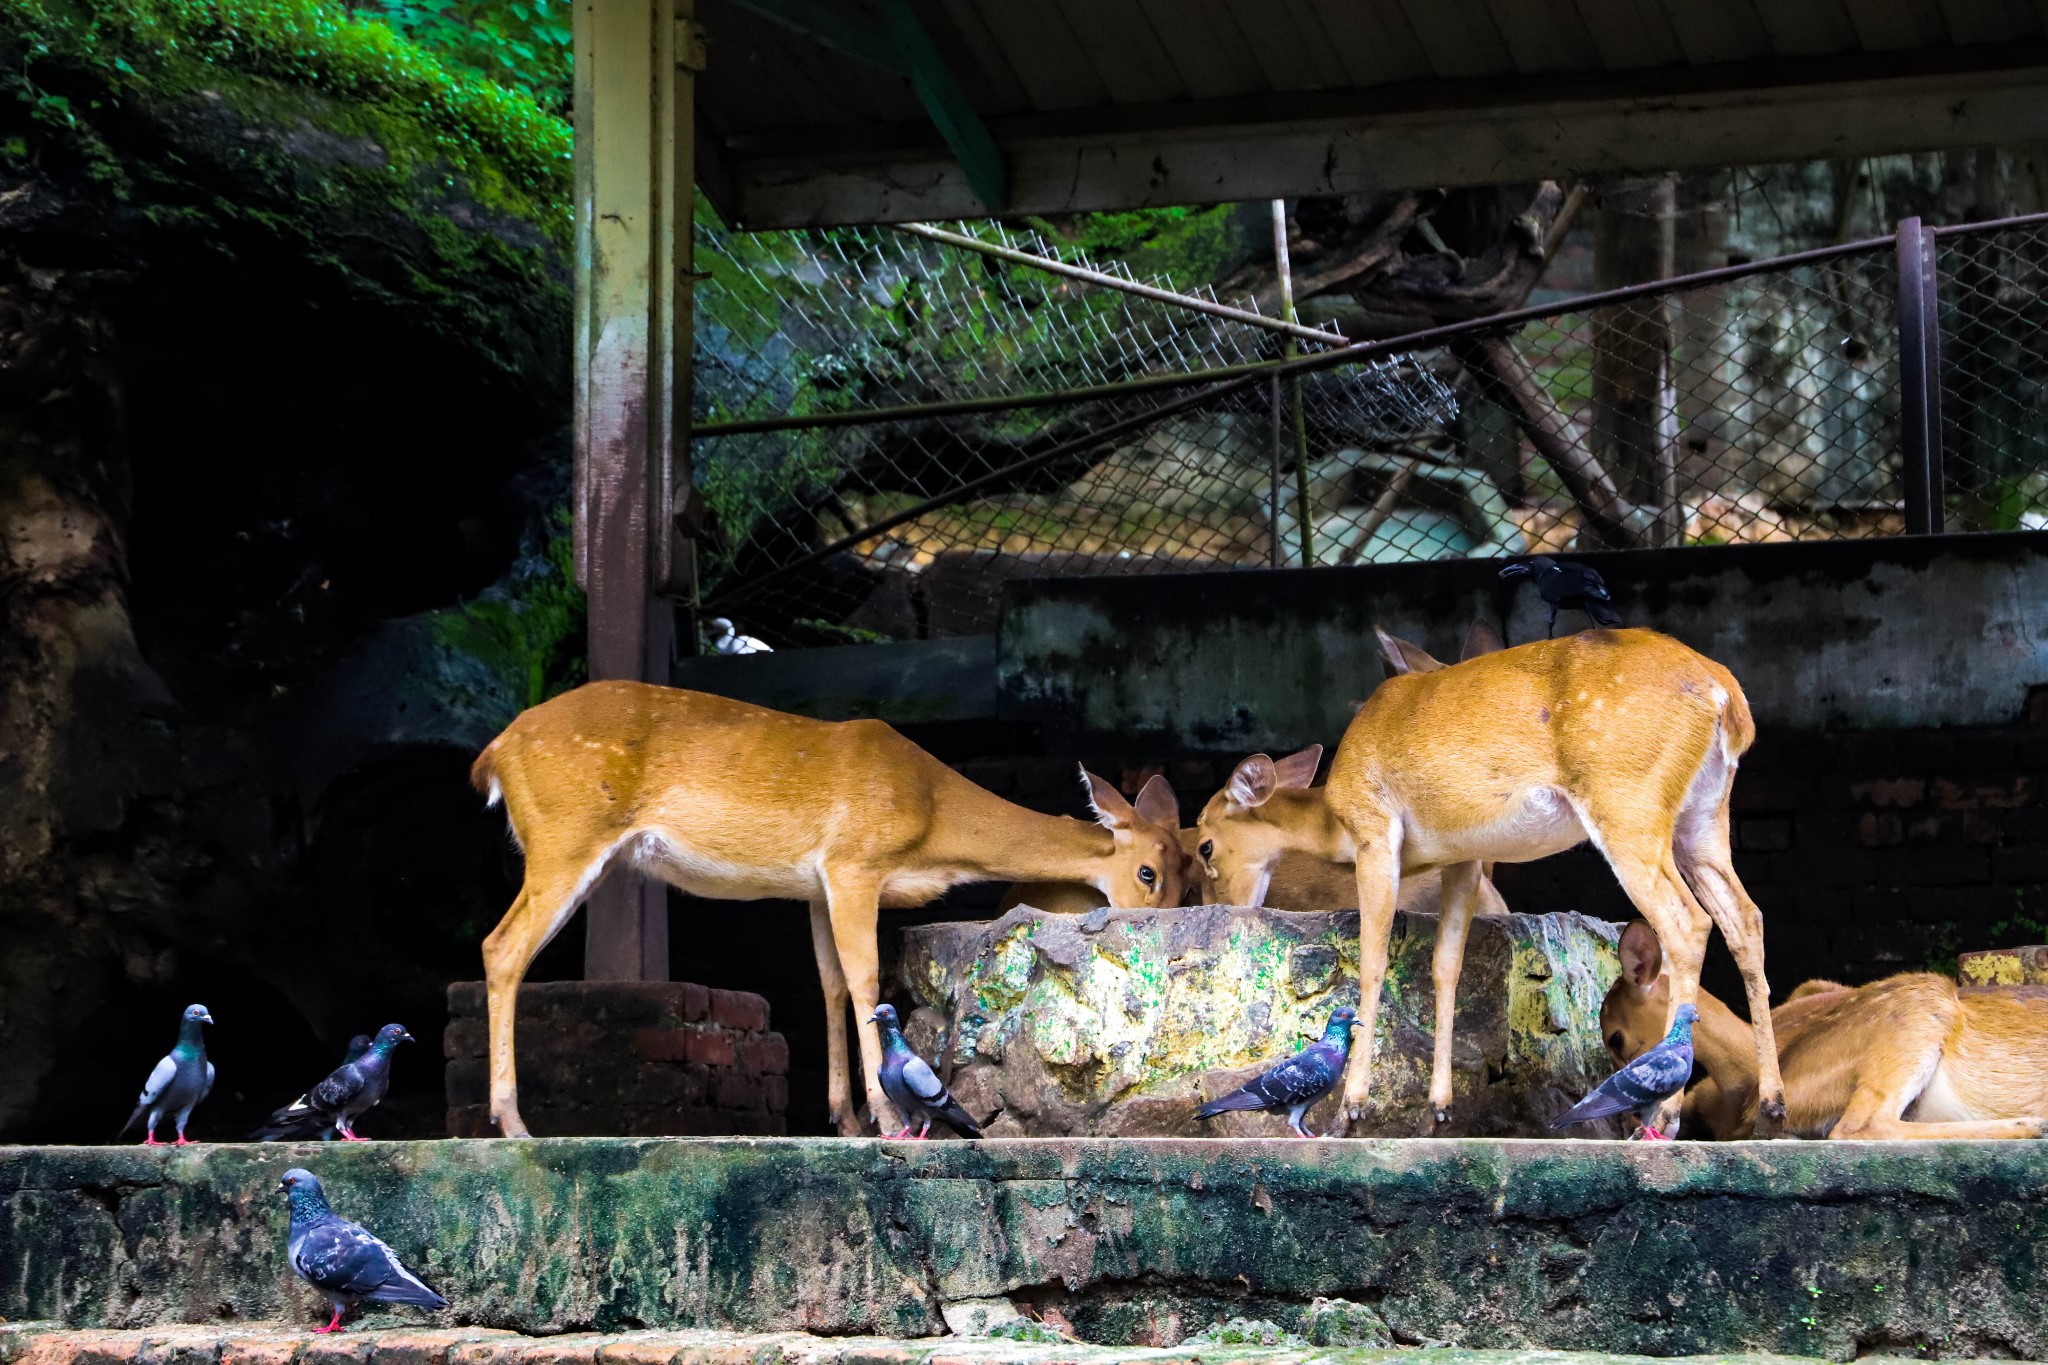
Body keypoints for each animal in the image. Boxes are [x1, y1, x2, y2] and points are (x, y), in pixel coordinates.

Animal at [473, 683, 1187, 1146]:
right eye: (1147, 873)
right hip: (565, 834)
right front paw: (885, 1115)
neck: (932, 819)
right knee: (501, 946)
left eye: (1188, 870)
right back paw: (512, 1122)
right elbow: (866, 978)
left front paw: (844, 1118)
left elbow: (831, 982)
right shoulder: (853, 863)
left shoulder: (815, 885)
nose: (1171, 918)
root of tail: (495, 753)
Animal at [1196, 626, 1785, 1137]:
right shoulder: (1464, 855)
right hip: (1704, 815)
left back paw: (1665, 1116)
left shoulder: (1375, 832)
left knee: (1687, 922)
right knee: (1745, 916)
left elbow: (1373, 958)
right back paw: (1773, 1105)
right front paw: (1439, 1108)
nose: (1223, 908)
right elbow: (1446, 965)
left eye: (1204, 845)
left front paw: (1350, 1110)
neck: (1334, 821)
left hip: (1628, 802)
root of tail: (1728, 698)